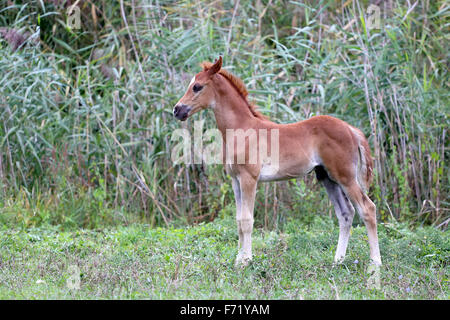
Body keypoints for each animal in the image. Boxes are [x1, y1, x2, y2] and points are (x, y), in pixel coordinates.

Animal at [174, 57, 382, 264]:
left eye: (197, 87)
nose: (177, 110)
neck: (243, 129)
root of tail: (350, 129)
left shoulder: (249, 178)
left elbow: (247, 220)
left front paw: (246, 261)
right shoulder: (235, 180)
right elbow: (239, 220)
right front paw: (238, 260)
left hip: (345, 176)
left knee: (367, 208)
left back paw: (375, 263)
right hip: (327, 178)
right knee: (346, 213)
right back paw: (337, 261)